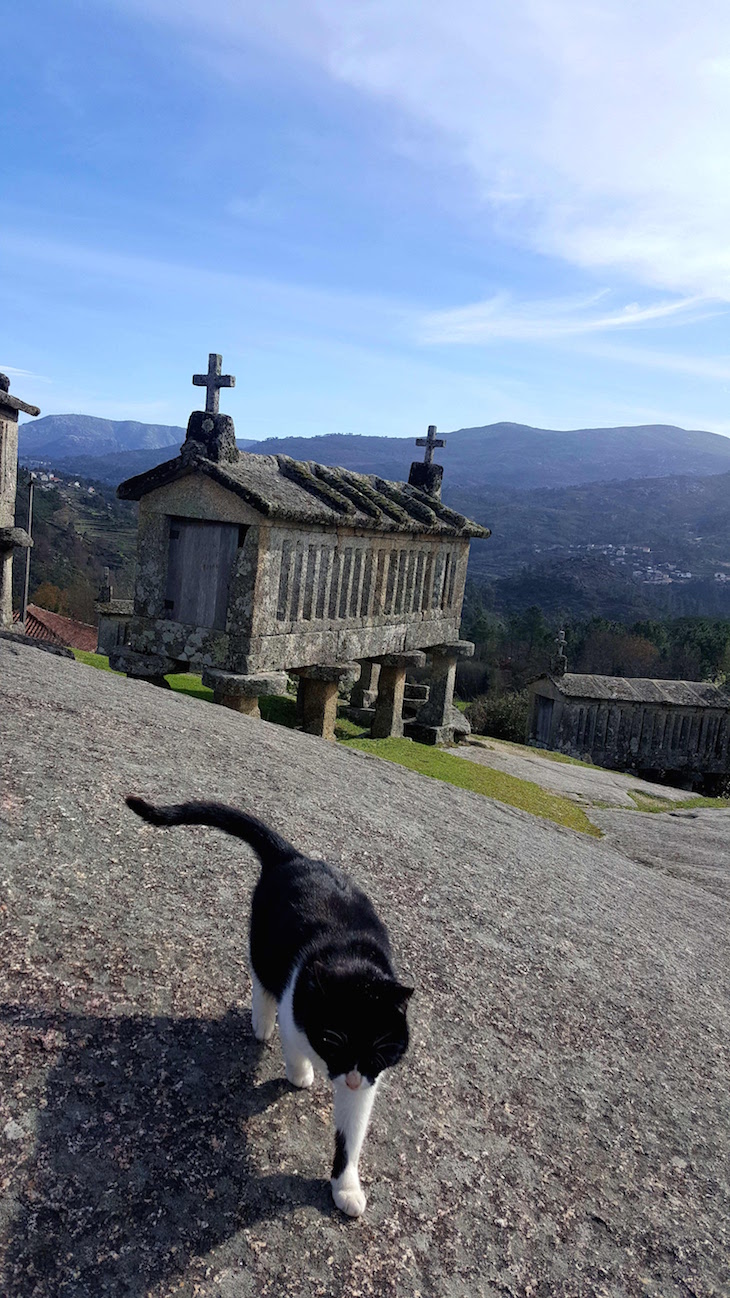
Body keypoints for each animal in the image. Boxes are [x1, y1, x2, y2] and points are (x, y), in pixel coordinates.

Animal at [124, 789, 410, 1214]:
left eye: (377, 1051)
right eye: (334, 1042)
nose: (352, 1078)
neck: (349, 956)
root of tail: (293, 856)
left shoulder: (367, 1081)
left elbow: (351, 1132)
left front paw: (345, 1186)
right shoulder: (297, 1012)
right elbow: (293, 1046)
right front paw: (300, 1073)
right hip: (263, 942)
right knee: (261, 979)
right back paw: (262, 1023)